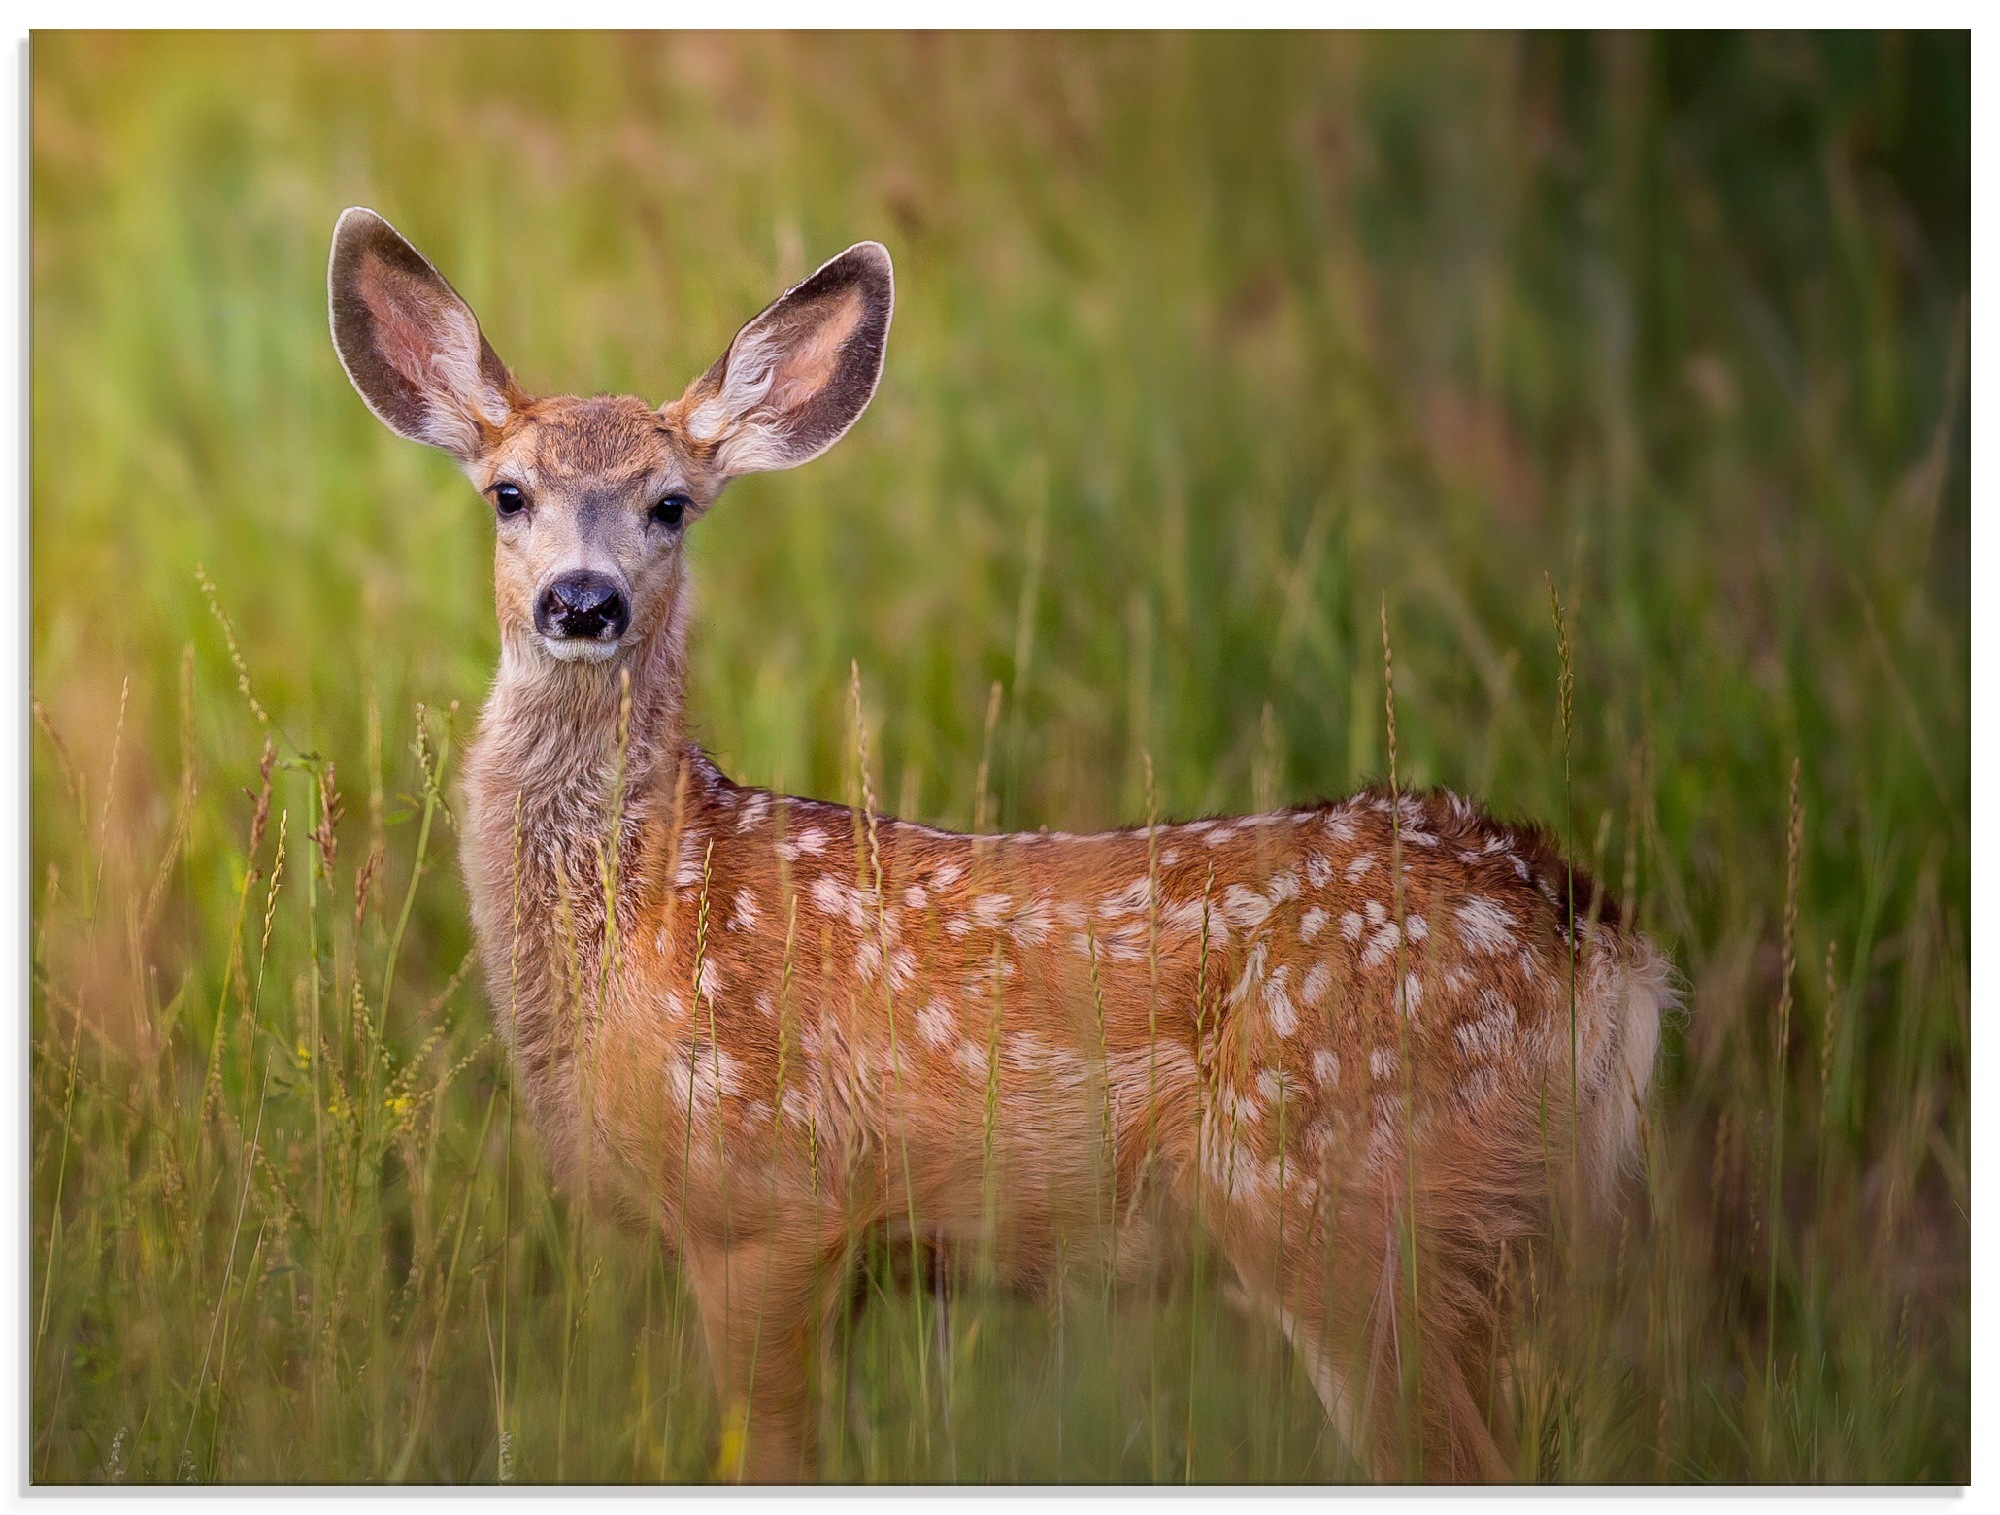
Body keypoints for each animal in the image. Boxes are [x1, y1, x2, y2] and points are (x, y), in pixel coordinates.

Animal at [332, 207, 1672, 1487]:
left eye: (671, 504)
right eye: (508, 494)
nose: (582, 601)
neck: (645, 911)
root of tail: (1600, 945)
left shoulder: (762, 1206)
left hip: (1341, 1199)